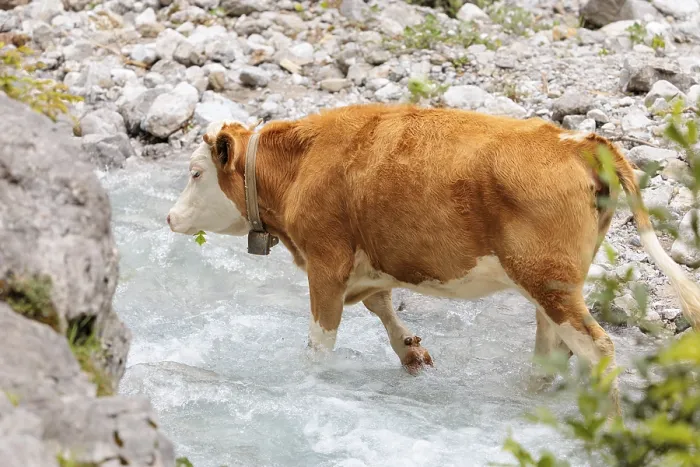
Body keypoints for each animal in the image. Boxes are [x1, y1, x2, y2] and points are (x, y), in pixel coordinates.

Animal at [167, 103, 700, 417]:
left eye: (195, 173)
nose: (170, 216)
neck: (301, 164)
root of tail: (577, 141)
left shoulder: (325, 262)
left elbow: (320, 343)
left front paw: (309, 381)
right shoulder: (366, 262)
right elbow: (382, 305)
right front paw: (411, 352)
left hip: (547, 278)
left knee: (598, 348)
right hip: (550, 284)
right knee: (552, 349)